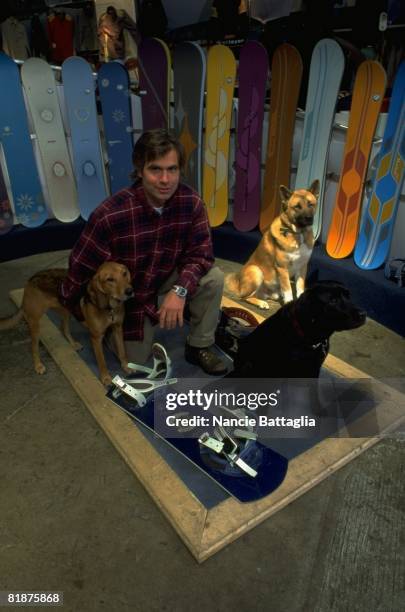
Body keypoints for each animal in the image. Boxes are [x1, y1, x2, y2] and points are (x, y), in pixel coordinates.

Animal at [1, 260, 134, 384]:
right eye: (110, 279)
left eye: (124, 273)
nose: (130, 291)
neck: (110, 308)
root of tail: (32, 278)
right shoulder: (96, 337)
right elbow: (102, 361)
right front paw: (106, 378)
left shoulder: (118, 329)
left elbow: (122, 352)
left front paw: (126, 367)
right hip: (35, 323)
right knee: (33, 347)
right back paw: (38, 366)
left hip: (66, 310)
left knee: (63, 328)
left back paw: (73, 344)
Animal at [226, 179, 318, 308]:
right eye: (297, 207)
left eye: (311, 204)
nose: (309, 218)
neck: (298, 233)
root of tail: (239, 286)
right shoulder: (282, 268)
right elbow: (288, 289)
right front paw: (289, 302)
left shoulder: (302, 267)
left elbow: (300, 287)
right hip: (256, 271)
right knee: (244, 297)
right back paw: (261, 303)